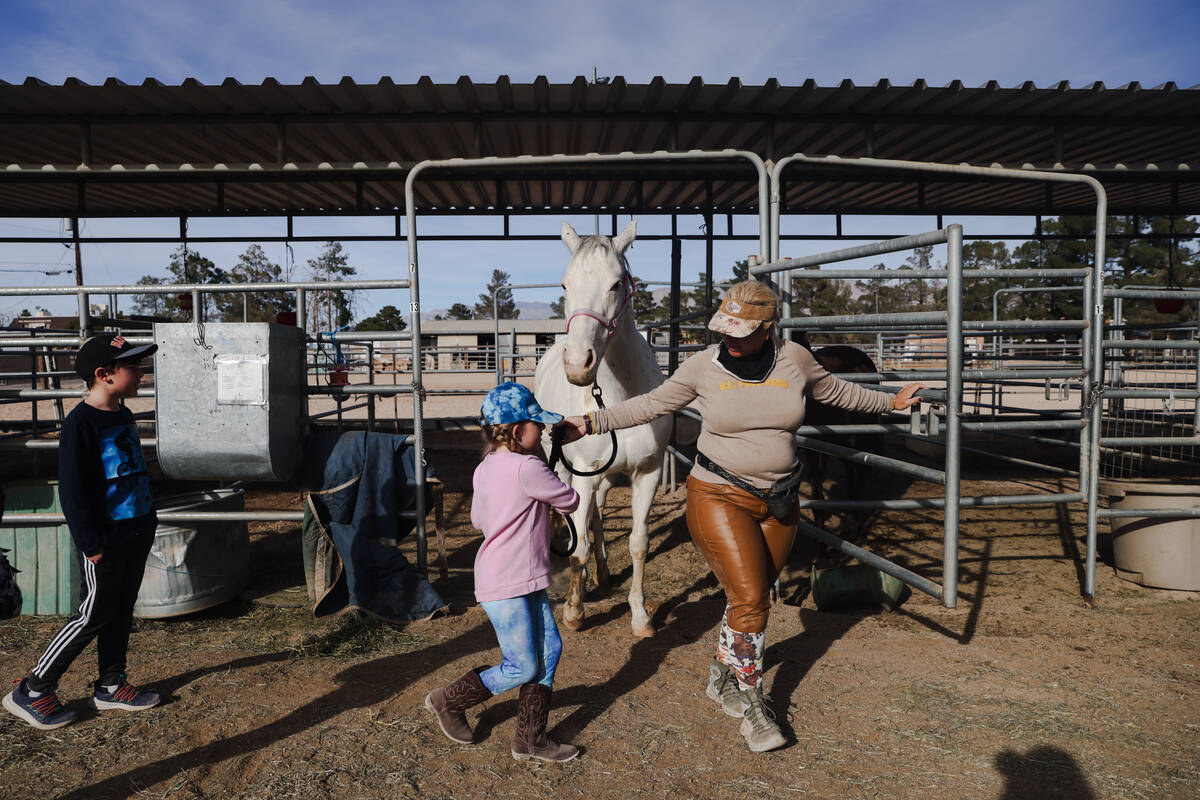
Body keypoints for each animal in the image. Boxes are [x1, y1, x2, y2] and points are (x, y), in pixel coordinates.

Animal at [537, 219, 672, 638]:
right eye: (565, 284)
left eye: (615, 284)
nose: (578, 364)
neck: (618, 400)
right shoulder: (582, 474)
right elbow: (577, 544)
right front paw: (574, 611)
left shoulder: (649, 472)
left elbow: (639, 543)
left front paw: (640, 615)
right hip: (569, 471)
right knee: (584, 523)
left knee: (597, 514)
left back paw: (603, 572)